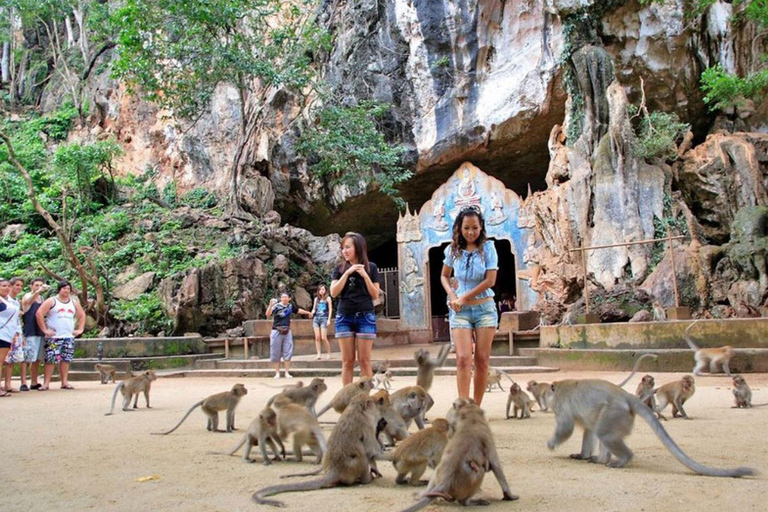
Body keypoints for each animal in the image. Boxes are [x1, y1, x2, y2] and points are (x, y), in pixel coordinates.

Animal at [544, 378, 756, 478]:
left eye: (547, 392)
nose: (545, 400)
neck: (559, 388)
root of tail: (627, 396)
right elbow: (588, 430)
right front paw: (582, 455)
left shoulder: (562, 404)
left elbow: (566, 427)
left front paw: (551, 444)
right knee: (601, 431)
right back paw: (601, 459)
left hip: (615, 412)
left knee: (605, 434)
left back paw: (623, 459)